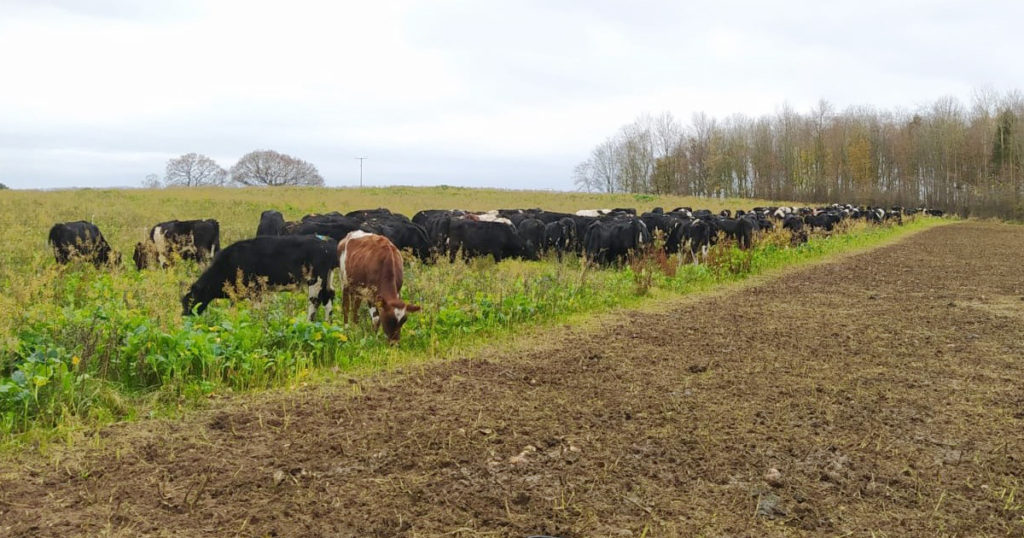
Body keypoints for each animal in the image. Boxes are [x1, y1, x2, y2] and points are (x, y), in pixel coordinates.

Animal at [182, 233, 337, 319]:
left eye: (191, 300)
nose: (184, 316)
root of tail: (326, 241)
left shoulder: (256, 291)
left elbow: (255, 310)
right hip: (327, 279)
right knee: (328, 298)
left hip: (316, 280)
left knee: (315, 302)